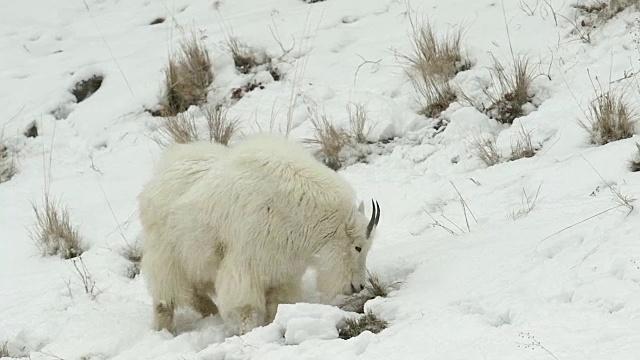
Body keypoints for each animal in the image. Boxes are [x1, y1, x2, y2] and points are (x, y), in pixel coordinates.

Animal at [139, 134, 380, 336]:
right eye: (358, 246)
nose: (358, 286)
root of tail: (156, 180)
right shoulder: (245, 266)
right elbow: (246, 307)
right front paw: (248, 332)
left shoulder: (282, 271)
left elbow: (276, 303)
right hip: (167, 257)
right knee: (167, 298)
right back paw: (166, 330)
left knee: (193, 293)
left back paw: (211, 312)